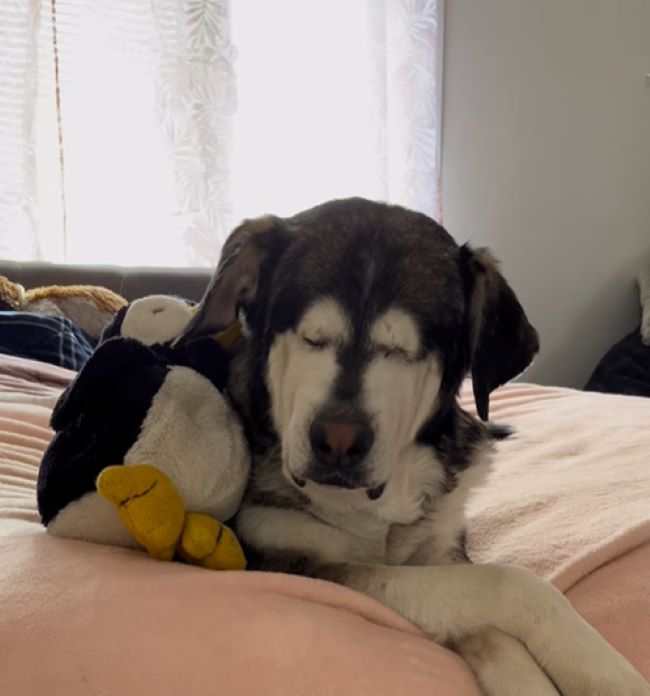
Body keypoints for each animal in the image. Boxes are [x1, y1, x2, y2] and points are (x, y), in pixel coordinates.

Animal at [178, 197, 648, 696]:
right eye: (311, 337)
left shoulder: (439, 544)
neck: (375, 512)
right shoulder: (290, 557)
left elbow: (483, 618)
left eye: (405, 351)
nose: (337, 443)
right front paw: (603, 672)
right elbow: (510, 586)